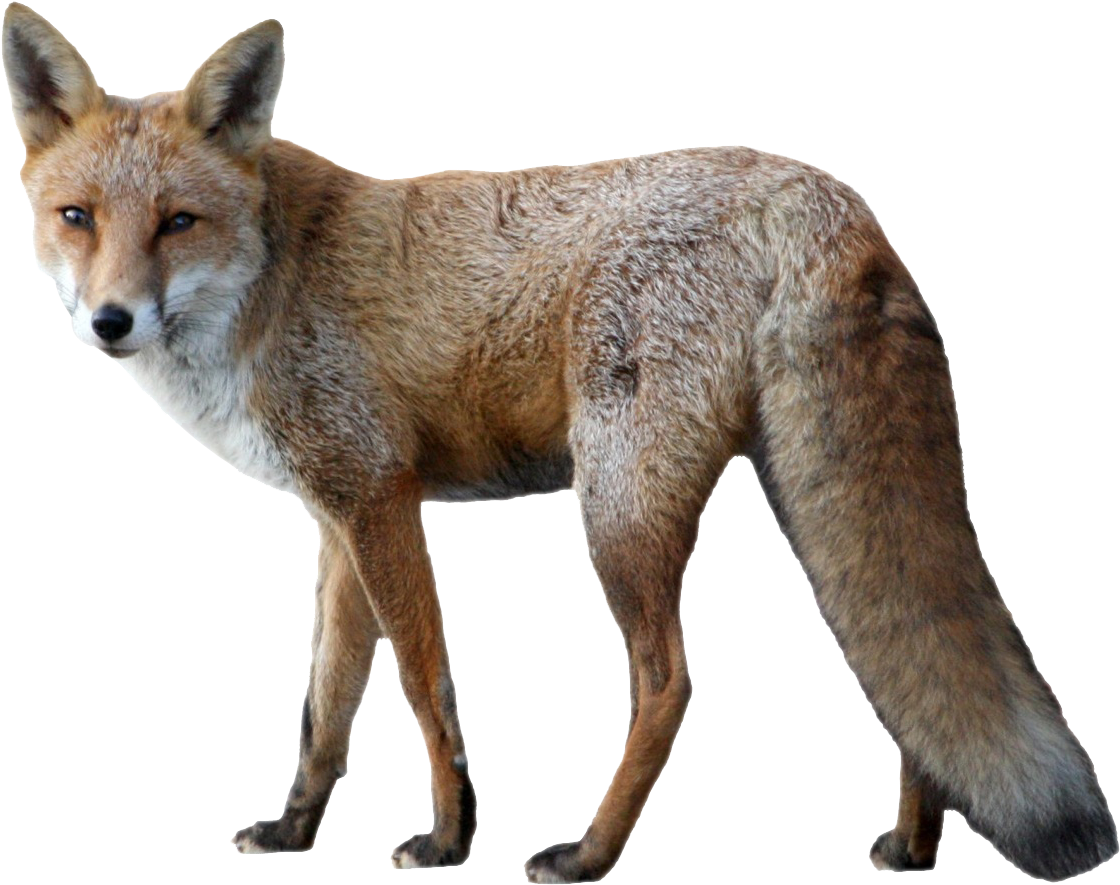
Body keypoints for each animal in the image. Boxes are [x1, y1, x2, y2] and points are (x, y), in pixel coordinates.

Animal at [3, 4, 1116, 880]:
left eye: (178, 222)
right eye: (77, 217)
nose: (110, 322)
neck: (270, 284)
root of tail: (824, 193)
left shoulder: (380, 497)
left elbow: (424, 686)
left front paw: (447, 842)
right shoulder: (337, 514)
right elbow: (326, 704)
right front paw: (293, 830)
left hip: (617, 509)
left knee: (668, 685)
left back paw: (588, 855)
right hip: (805, 498)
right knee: (894, 662)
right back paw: (911, 845)